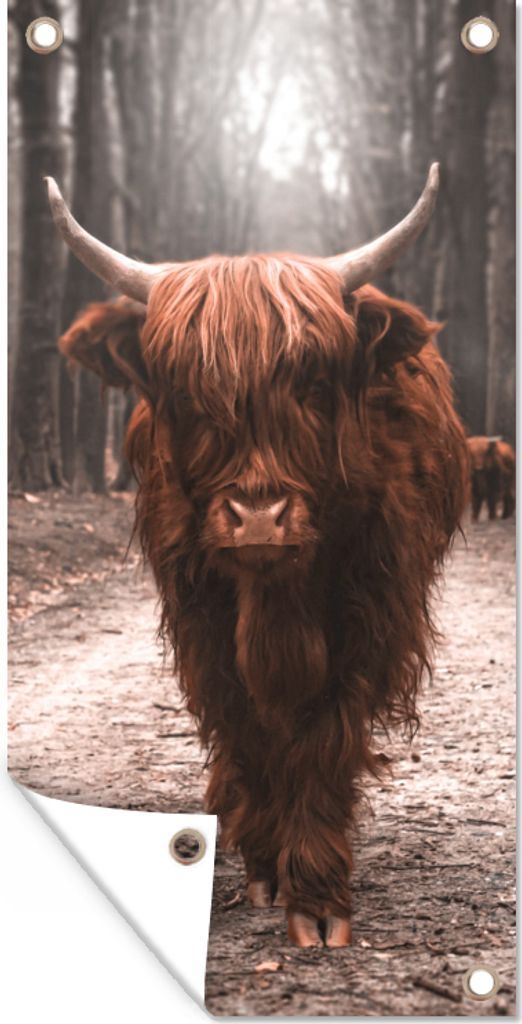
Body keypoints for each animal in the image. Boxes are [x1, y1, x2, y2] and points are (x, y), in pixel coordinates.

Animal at [47, 166, 469, 948]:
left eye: (313, 384)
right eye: (187, 394)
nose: (259, 518)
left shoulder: (370, 612)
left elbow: (324, 734)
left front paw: (319, 897)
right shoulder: (200, 618)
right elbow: (245, 726)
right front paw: (269, 868)